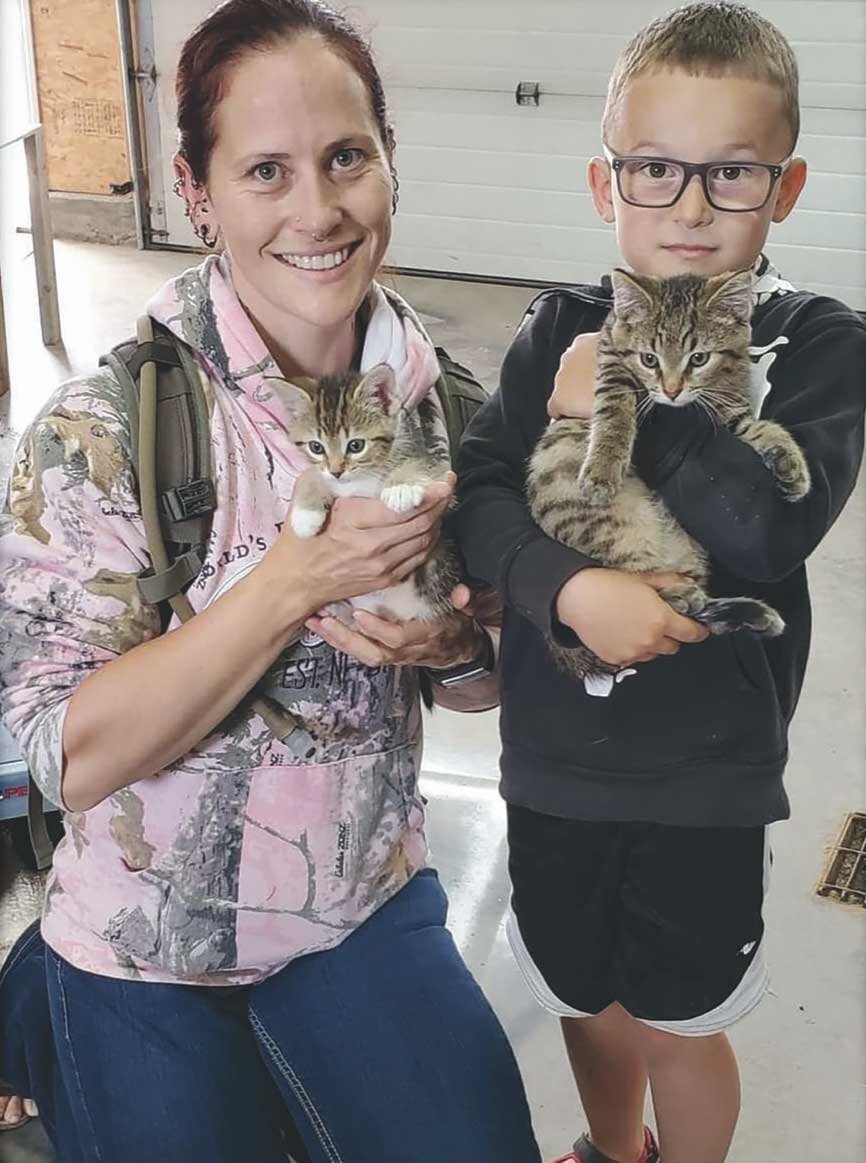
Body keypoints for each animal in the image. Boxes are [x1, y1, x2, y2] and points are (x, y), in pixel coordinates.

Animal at [272, 363, 460, 623]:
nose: (336, 471)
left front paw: (400, 488)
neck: (359, 479)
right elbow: (311, 476)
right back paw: (337, 611)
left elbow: (419, 466)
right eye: (316, 447)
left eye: (356, 445)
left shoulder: (442, 477)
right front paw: (305, 517)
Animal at [527, 267, 812, 686]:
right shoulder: (610, 355)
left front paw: (791, 465)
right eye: (649, 359)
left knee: (697, 614)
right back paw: (680, 598)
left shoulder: (727, 411)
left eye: (699, 357)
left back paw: (751, 614)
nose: (672, 390)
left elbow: (758, 427)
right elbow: (614, 408)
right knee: (639, 594)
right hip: (609, 535)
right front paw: (603, 468)